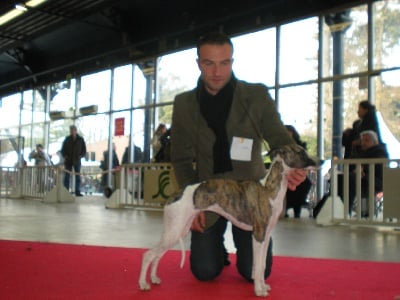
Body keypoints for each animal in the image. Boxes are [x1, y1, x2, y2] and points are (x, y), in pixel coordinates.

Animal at [139, 144, 318, 296]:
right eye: (301, 152)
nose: (318, 162)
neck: (268, 189)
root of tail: (173, 196)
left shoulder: (265, 237)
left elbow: (261, 265)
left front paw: (262, 286)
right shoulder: (258, 235)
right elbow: (258, 266)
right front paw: (259, 290)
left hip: (177, 230)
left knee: (157, 255)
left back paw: (154, 279)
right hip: (174, 230)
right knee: (148, 255)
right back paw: (143, 284)